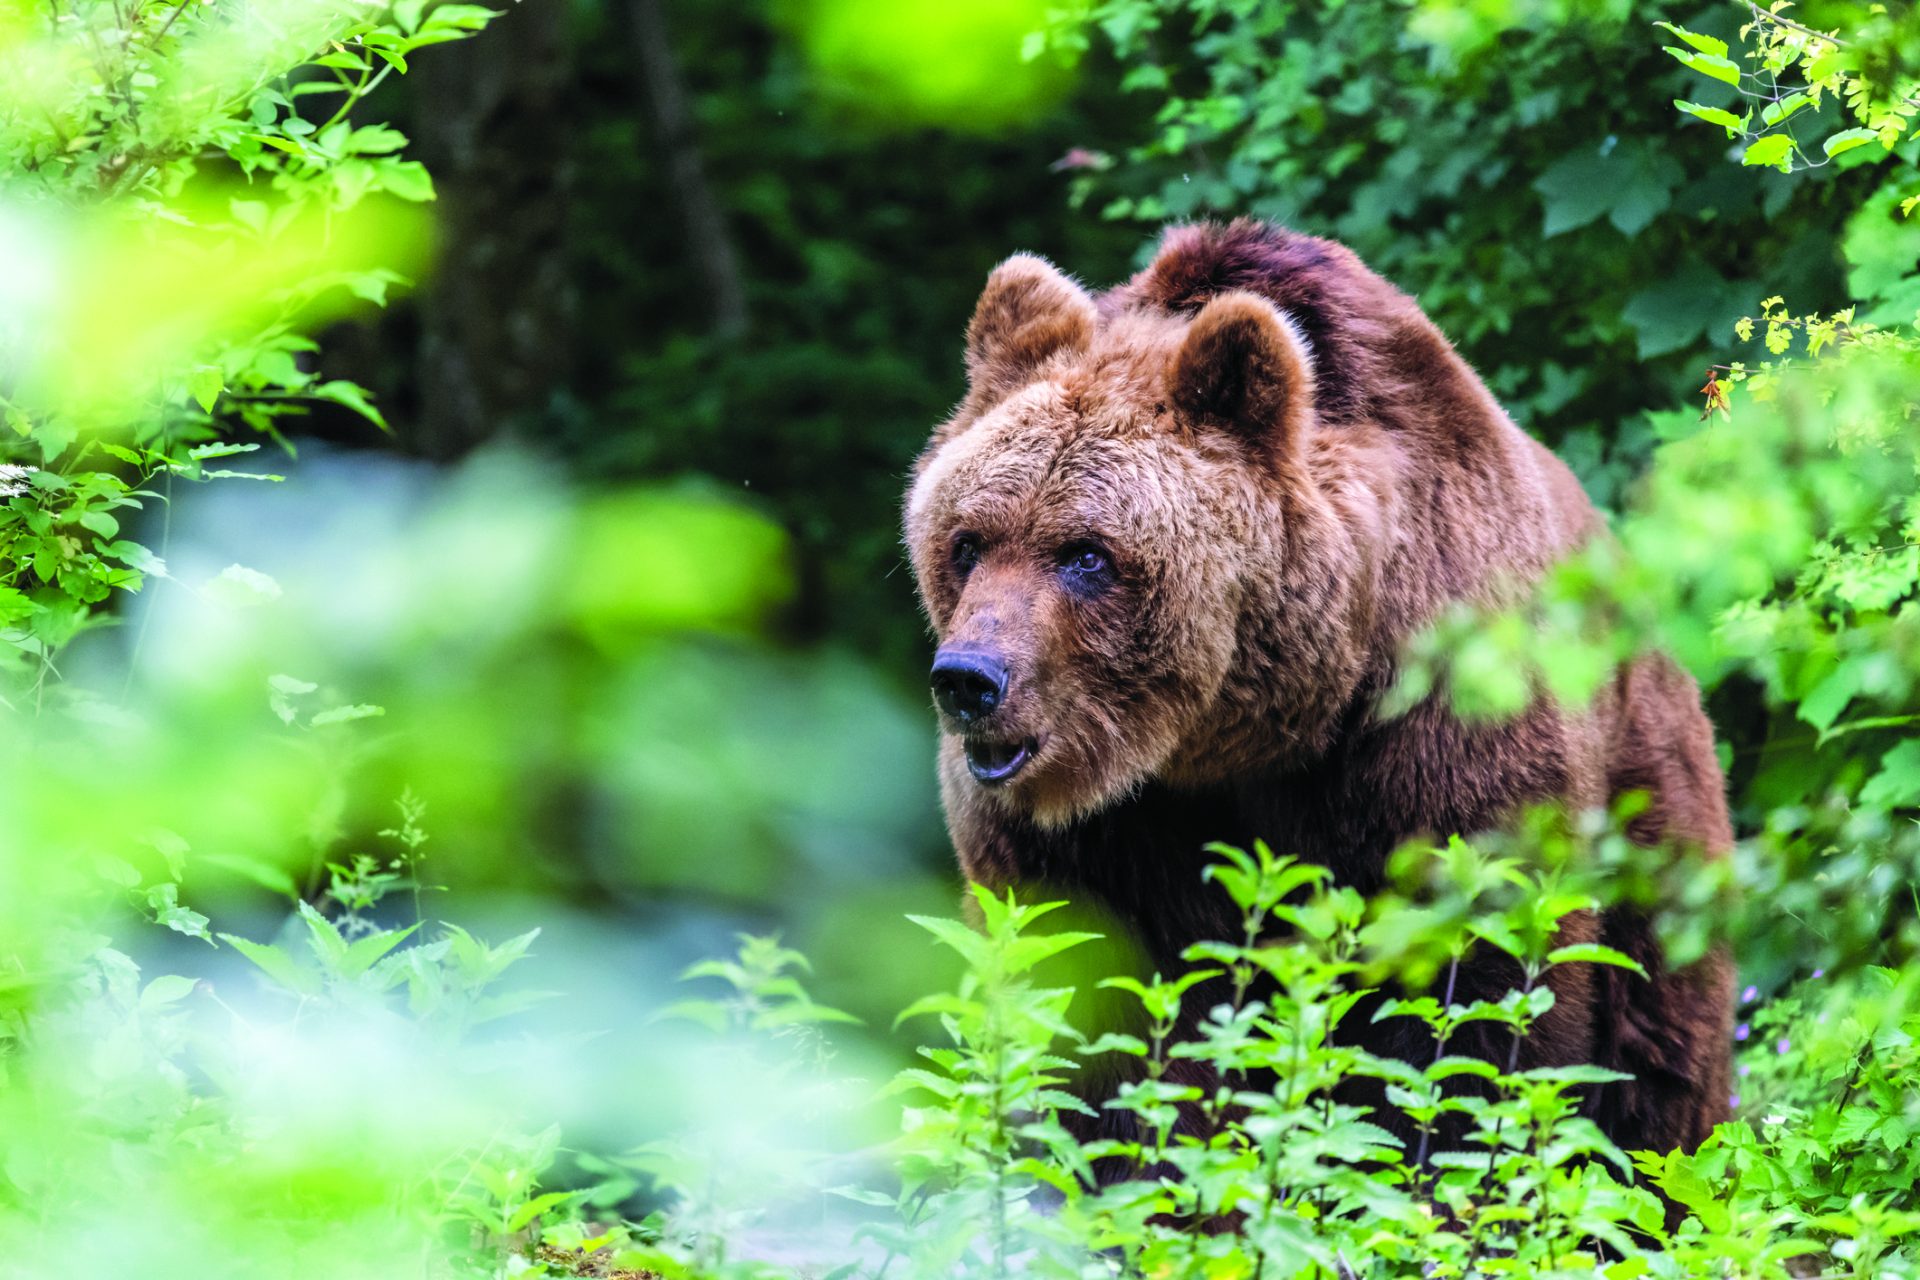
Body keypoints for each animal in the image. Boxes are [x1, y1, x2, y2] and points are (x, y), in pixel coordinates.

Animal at [906, 220, 1735, 1159]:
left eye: (1086, 553)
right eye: (967, 542)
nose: (968, 681)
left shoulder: (1433, 743)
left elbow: (1464, 1016)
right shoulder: (1094, 837)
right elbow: (1092, 1006)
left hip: (1648, 797)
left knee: (1659, 1033)